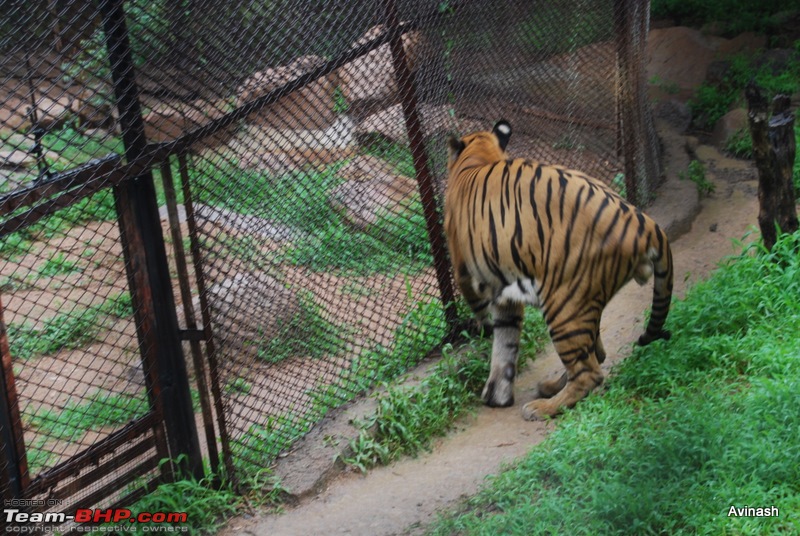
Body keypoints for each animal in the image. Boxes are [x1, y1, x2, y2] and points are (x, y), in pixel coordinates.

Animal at [446, 119, 672, 420]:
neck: (479, 156)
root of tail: (645, 223)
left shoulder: (466, 273)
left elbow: (489, 322)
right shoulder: (505, 290)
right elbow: (506, 341)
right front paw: (498, 395)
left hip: (564, 302)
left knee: (589, 371)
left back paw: (544, 407)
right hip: (583, 297)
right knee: (594, 352)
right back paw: (551, 387)